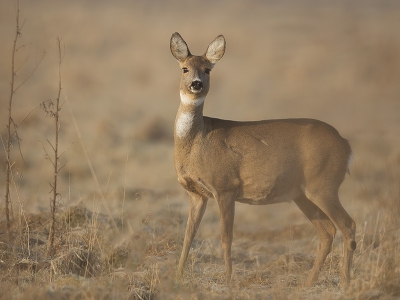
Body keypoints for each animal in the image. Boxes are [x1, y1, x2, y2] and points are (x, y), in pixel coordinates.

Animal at [170, 31, 354, 288]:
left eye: (207, 69)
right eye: (184, 69)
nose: (196, 83)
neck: (197, 141)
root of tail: (346, 145)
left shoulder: (226, 187)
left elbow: (226, 238)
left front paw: (229, 281)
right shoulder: (197, 193)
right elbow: (188, 236)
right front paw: (177, 277)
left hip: (324, 185)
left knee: (348, 225)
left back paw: (345, 283)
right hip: (302, 193)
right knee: (328, 231)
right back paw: (308, 283)